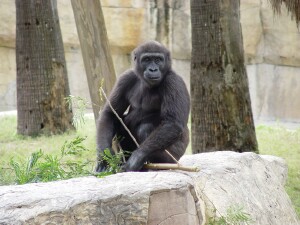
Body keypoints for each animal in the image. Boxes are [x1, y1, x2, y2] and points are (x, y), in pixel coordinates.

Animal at [96, 40, 190, 171]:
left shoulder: (174, 82)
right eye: (146, 59)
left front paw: (138, 157)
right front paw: (104, 155)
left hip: (174, 158)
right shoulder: (125, 78)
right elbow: (110, 114)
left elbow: (172, 123)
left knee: (146, 128)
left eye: (158, 59)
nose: (153, 69)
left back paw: (153, 165)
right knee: (120, 122)